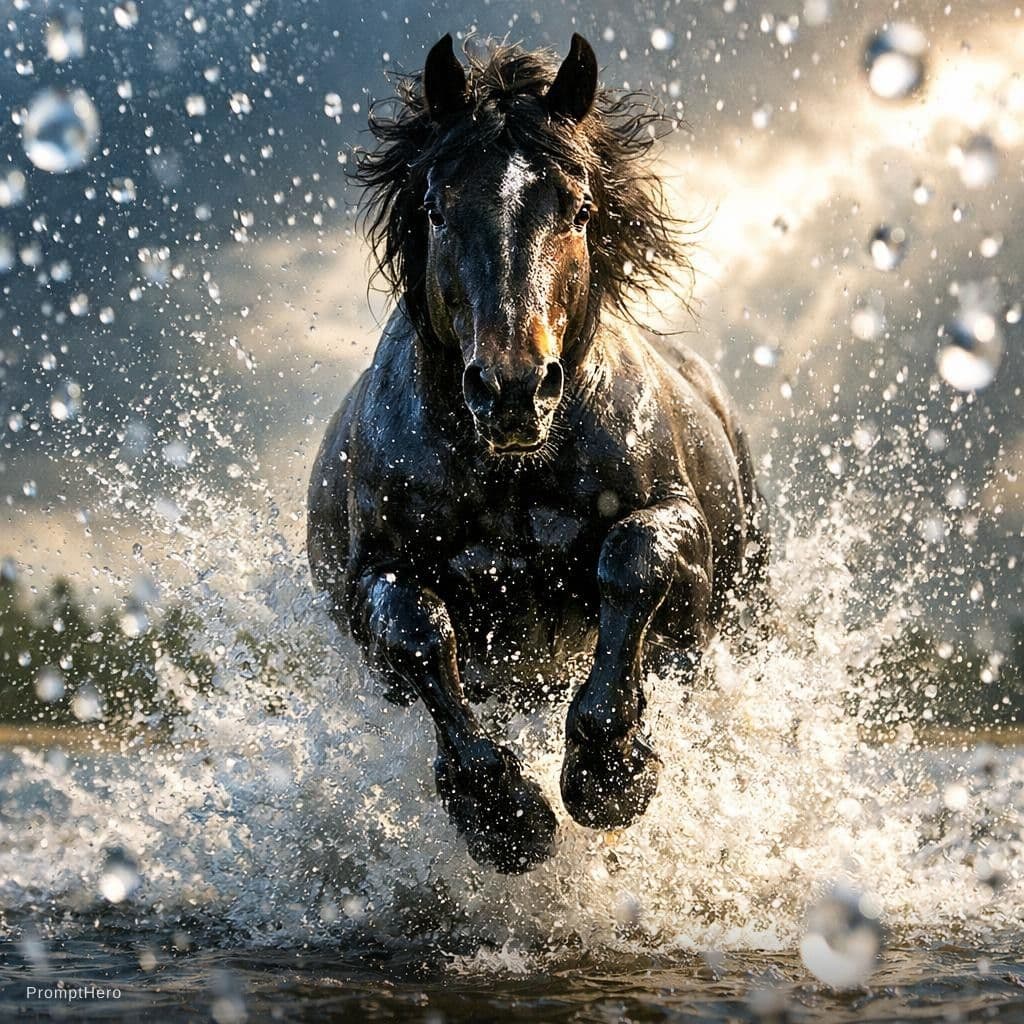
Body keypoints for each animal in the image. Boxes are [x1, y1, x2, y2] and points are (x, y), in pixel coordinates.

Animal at [308, 33, 770, 873]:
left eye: (579, 208)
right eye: (437, 207)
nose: (514, 389)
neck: (513, 477)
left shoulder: (677, 526)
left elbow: (633, 563)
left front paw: (609, 774)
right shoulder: (374, 576)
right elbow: (420, 633)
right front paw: (503, 815)